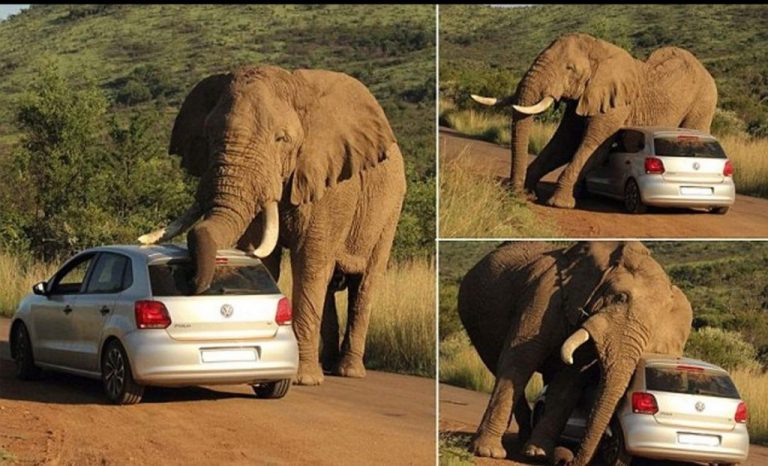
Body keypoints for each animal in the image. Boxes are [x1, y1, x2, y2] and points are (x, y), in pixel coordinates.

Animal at [137, 65, 404, 386]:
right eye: (209, 135)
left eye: (281, 139)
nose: (189, 282)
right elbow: (265, 258)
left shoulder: (332, 186)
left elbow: (309, 263)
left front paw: (302, 379)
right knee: (329, 284)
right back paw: (327, 365)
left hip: (389, 210)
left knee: (362, 284)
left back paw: (348, 371)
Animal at [460, 242, 692, 466]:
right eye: (620, 297)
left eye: (657, 321)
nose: (567, 460)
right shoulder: (543, 295)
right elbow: (520, 359)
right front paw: (488, 452)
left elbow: (569, 380)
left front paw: (538, 454)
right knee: (498, 364)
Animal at [472, 32, 716, 208]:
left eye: (569, 68)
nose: (514, 196)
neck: (599, 49)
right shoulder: (583, 97)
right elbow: (564, 143)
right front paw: (529, 194)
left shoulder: (616, 104)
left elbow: (592, 146)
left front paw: (559, 204)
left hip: (703, 102)